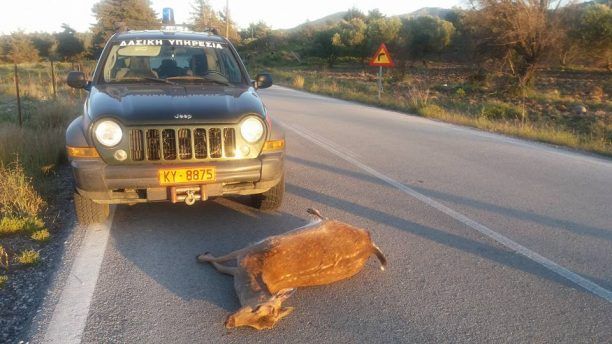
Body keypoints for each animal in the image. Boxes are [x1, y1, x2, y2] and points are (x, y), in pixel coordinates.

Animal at [196, 208, 388, 330]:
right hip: (335, 224)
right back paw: (311, 210)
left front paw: (203, 255)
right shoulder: (250, 250)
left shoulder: (244, 260)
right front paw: (201, 256)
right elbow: (221, 260)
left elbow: (220, 266)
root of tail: (369, 242)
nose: (229, 322)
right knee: (326, 218)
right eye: (257, 308)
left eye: (259, 326)